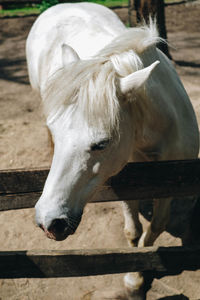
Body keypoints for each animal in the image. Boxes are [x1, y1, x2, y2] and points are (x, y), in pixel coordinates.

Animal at [25, 3, 199, 298]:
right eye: (57, 132)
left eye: (102, 143)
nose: (49, 222)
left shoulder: (172, 183)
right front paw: (134, 280)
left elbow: (156, 227)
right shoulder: (125, 184)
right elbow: (133, 231)